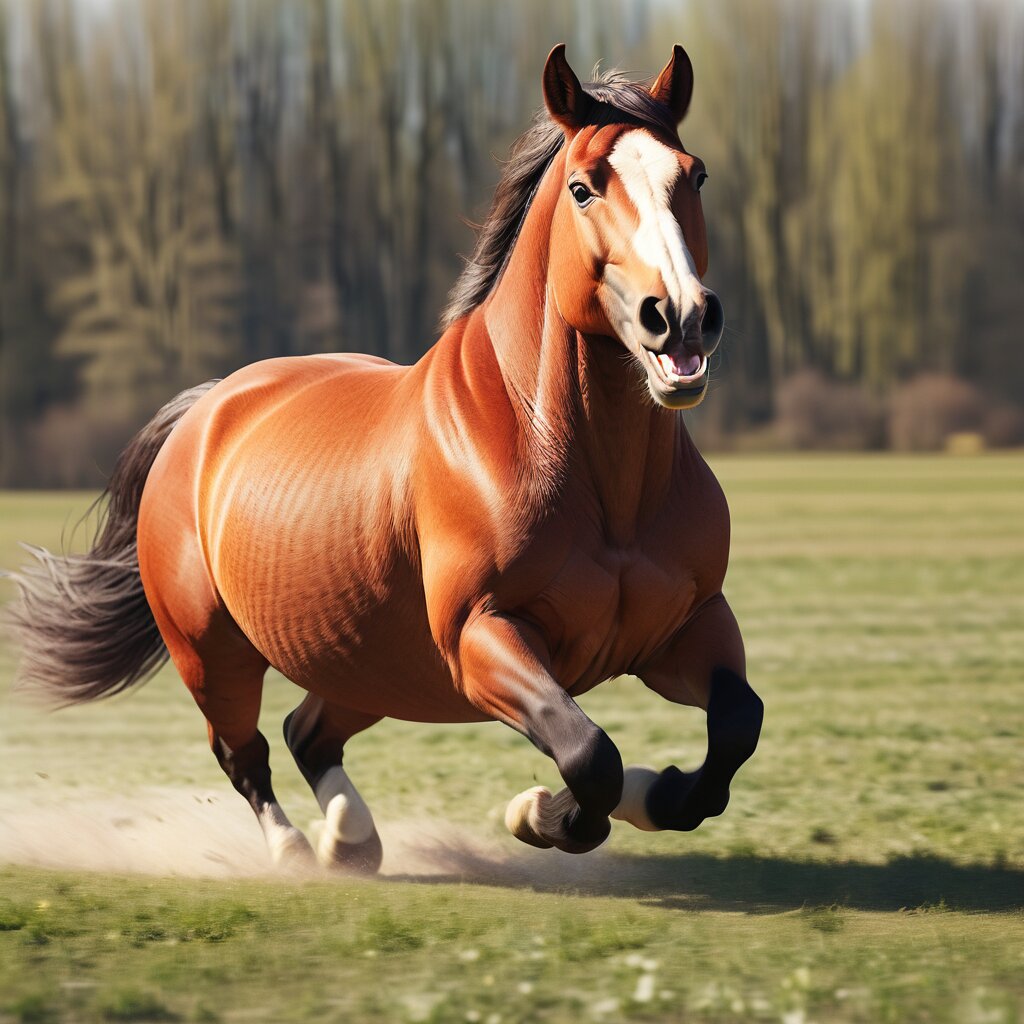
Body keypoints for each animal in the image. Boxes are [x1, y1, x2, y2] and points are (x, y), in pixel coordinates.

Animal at [10, 44, 763, 874]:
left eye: (693, 174)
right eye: (583, 188)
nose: (682, 316)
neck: (597, 481)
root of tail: (205, 412)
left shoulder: (685, 624)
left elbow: (734, 730)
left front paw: (651, 792)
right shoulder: (480, 637)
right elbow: (587, 754)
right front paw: (537, 812)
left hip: (367, 664)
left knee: (308, 734)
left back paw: (352, 839)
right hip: (213, 652)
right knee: (244, 752)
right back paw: (298, 853)